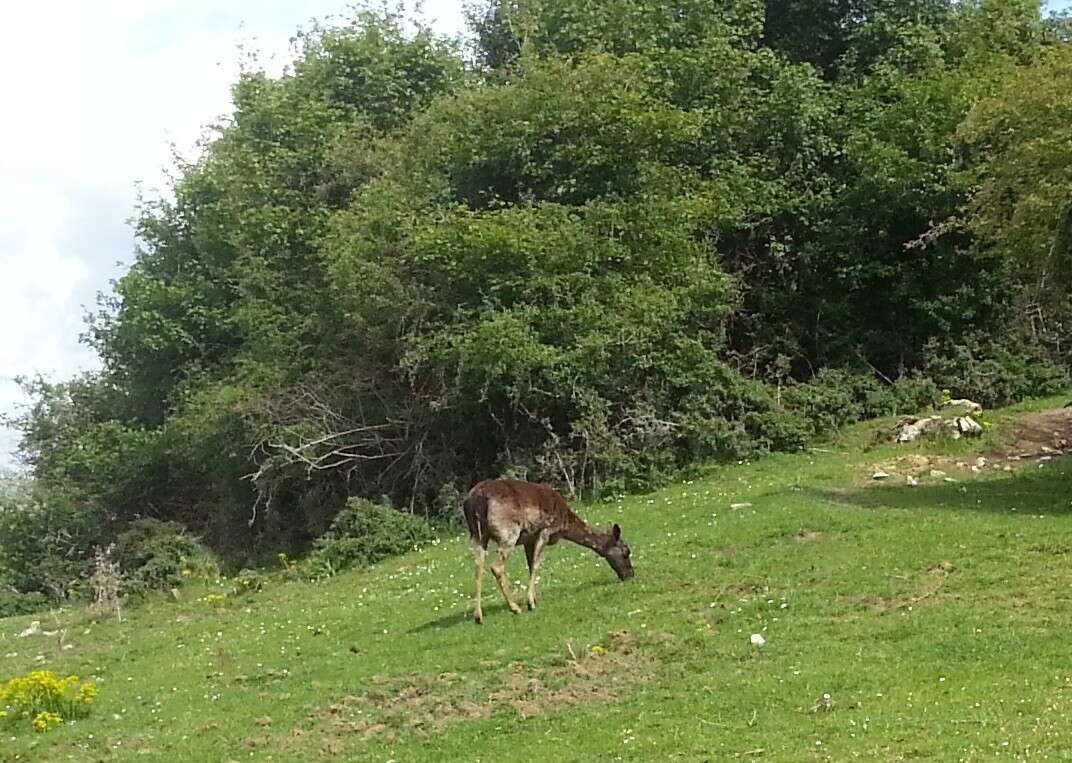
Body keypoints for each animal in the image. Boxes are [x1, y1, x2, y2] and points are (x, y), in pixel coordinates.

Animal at [458, 480, 626, 621]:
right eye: (626, 552)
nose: (629, 574)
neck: (565, 523)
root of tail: (476, 501)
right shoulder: (545, 530)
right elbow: (536, 565)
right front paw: (530, 603)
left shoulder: (528, 539)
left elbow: (530, 565)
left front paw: (534, 599)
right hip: (508, 532)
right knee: (496, 566)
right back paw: (514, 608)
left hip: (476, 535)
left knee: (478, 566)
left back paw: (478, 616)